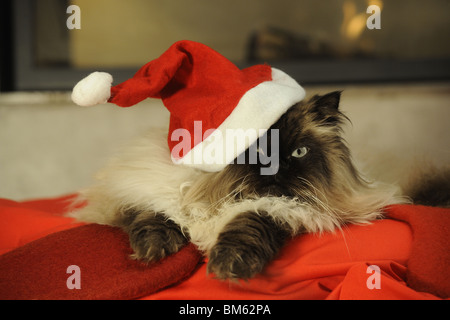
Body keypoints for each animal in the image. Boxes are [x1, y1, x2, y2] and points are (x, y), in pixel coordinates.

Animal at [72, 90, 402, 280]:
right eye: (256, 151)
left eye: (298, 152)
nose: (274, 168)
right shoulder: (150, 191)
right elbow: (153, 217)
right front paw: (155, 249)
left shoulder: (275, 209)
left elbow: (245, 229)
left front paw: (228, 266)